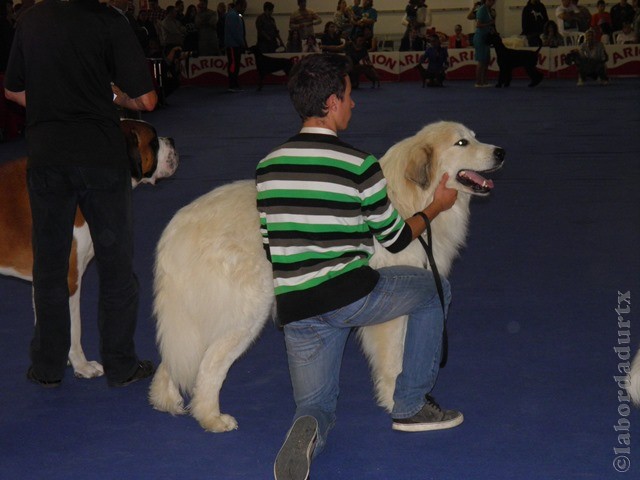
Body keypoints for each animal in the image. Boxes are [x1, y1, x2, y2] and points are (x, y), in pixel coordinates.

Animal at [149, 120, 504, 432]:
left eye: (474, 137)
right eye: (462, 143)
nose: (501, 152)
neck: (411, 200)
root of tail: (177, 228)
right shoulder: (392, 312)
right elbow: (394, 361)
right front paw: (398, 404)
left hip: (192, 318)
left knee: (175, 356)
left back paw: (166, 401)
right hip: (244, 316)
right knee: (208, 367)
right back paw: (212, 418)